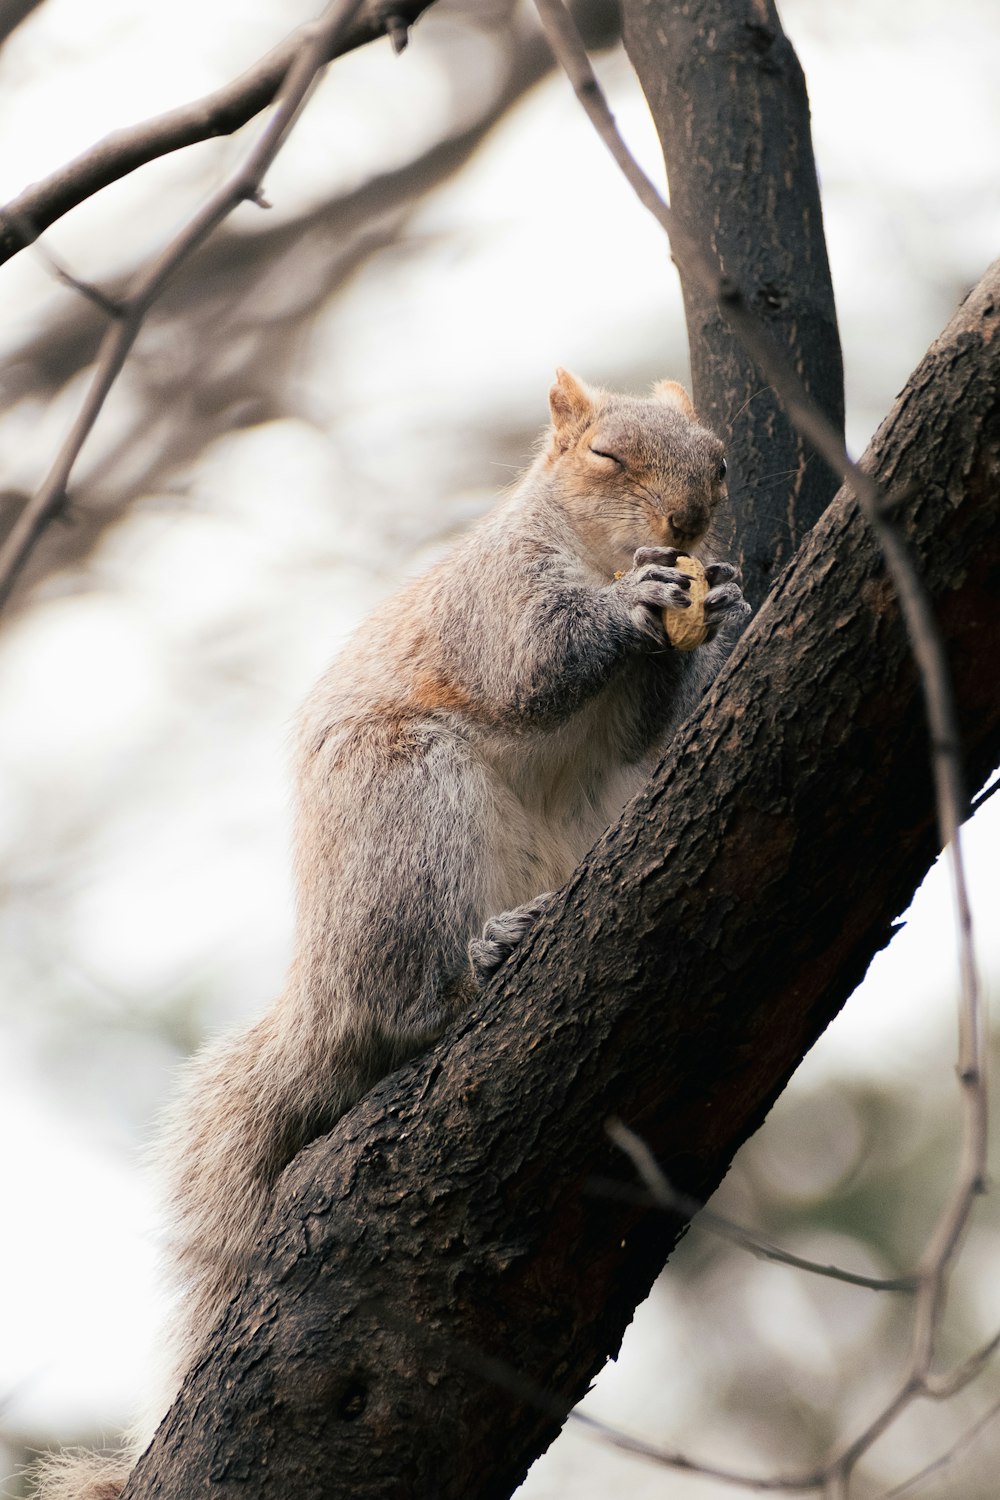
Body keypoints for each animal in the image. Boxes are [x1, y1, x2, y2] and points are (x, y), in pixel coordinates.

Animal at [31, 366, 746, 1500]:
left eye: (716, 462)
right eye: (604, 457)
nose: (684, 526)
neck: (588, 546)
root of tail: (325, 994)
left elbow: (642, 721)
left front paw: (720, 595)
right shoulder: (493, 600)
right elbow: (535, 665)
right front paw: (634, 604)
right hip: (411, 816)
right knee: (406, 1005)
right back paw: (481, 961)